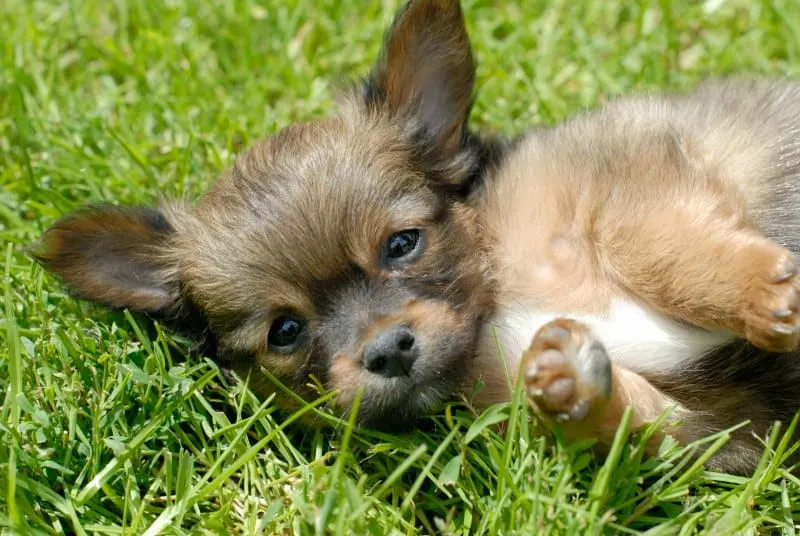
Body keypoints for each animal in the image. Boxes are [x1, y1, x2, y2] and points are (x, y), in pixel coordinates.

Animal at [34, 0, 800, 474]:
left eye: (402, 244)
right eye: (285, 331)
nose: (388, 350)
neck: (496, 302)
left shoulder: (623, 173)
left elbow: (661, 248)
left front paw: (761, 294)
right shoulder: (722, 426)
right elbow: (634, 419)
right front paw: (569, 383)